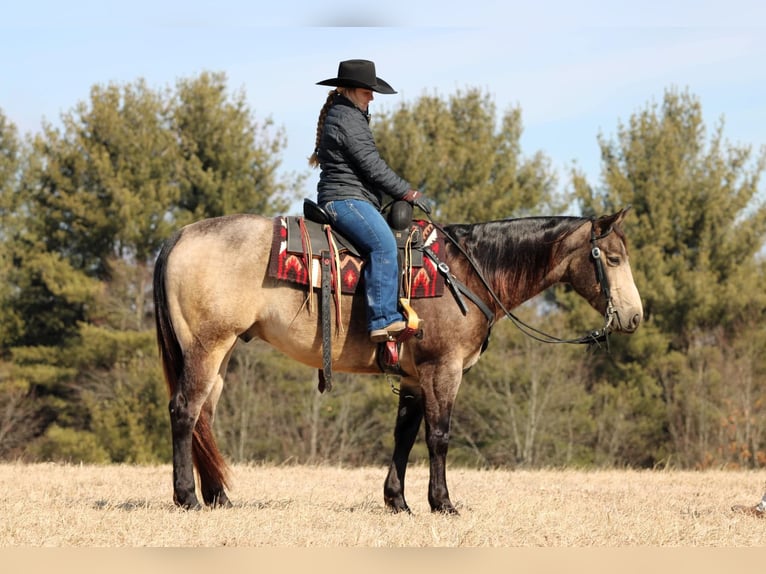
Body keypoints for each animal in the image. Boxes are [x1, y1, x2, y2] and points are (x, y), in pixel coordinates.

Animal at [153, 205, 644, 516]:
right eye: (612, 258)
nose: (635, 316)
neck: (465, 274)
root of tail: (179, 235)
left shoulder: (412, 377)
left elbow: (404, 437)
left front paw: (398, 501)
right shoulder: (442, 369)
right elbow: (439, 437)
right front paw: (443, 503)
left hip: (219, 352)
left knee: (204, 416)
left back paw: (218, 497)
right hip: (207, 346)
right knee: (184, 411)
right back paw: (187, 498)